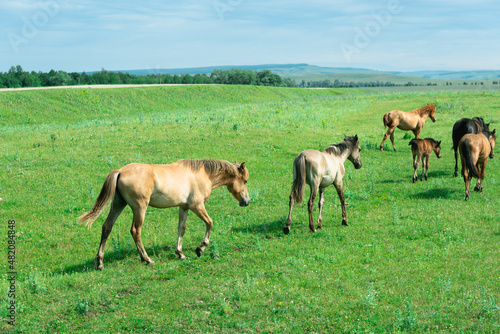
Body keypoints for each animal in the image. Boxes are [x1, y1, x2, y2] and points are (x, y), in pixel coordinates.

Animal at [79, 159, 250, 268]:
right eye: (245, 181)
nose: (246, 201)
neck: (203, 174)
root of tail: (120, 171)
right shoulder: (197, 206)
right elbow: (210, 223)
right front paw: (200, 248)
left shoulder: (184, 207)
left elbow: (181, 229)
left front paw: (180, 253)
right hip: (140, 208)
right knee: (135, 231)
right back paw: (147, 259)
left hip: (118, 205)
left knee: (107, 227)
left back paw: (100, 263)